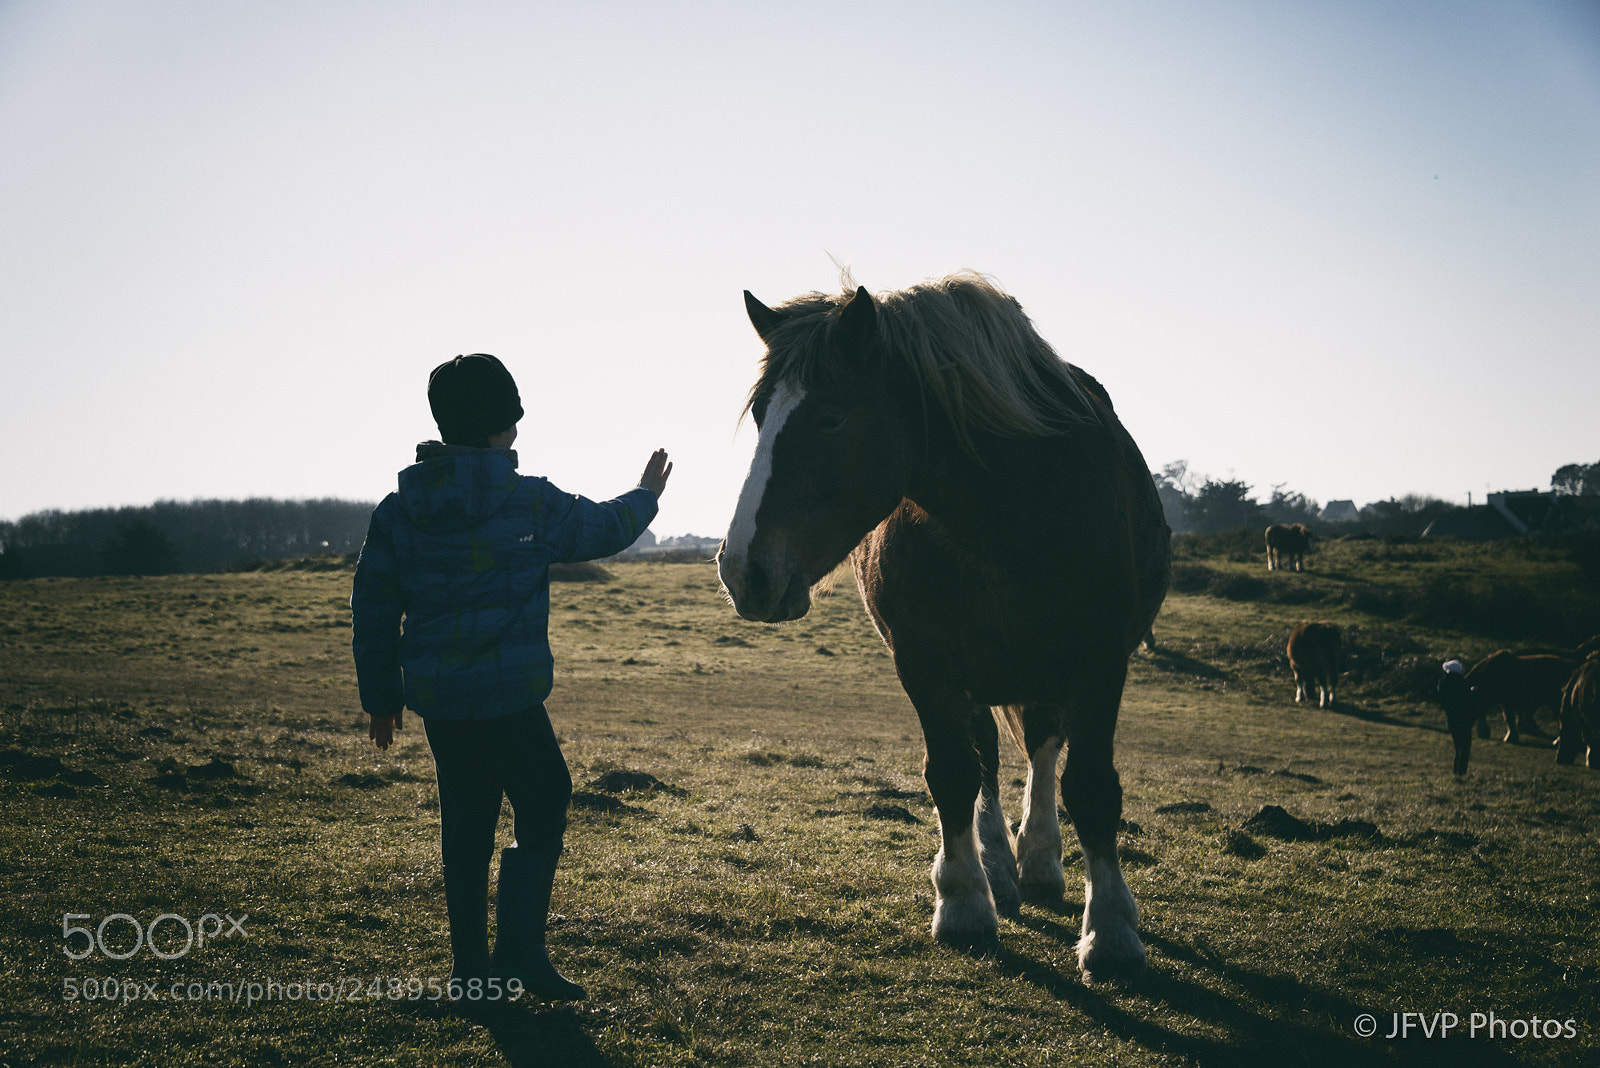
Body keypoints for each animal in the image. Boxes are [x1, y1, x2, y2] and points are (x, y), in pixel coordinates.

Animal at [717, 272, 1170, 984]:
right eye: (762, 416)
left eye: (831, 416)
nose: (743, 572)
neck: (1007, 510)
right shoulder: (923, 662)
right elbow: (953, 772)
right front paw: (963, 902)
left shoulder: (1101, 661)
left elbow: (1091, 786)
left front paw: (1112, 933)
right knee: (986, 752)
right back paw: (1000, 871)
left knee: (1042, 747)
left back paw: (1039, 861)